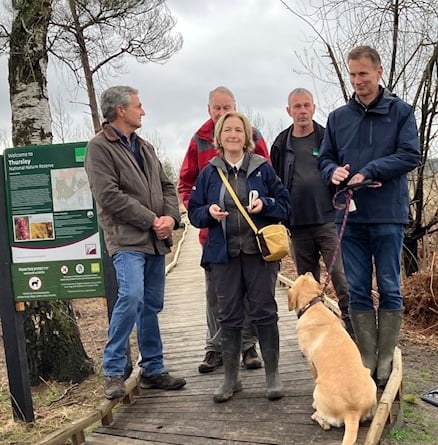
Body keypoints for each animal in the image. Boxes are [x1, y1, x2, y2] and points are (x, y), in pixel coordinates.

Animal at [288, 270, 376, 444]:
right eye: (307, 277)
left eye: (301, 277)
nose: (308, 271)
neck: (313, 306)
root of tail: (352, 412)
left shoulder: (310, 361)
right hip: (370, 379)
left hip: (318, 392)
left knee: (322, 419)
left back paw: (318, 416)